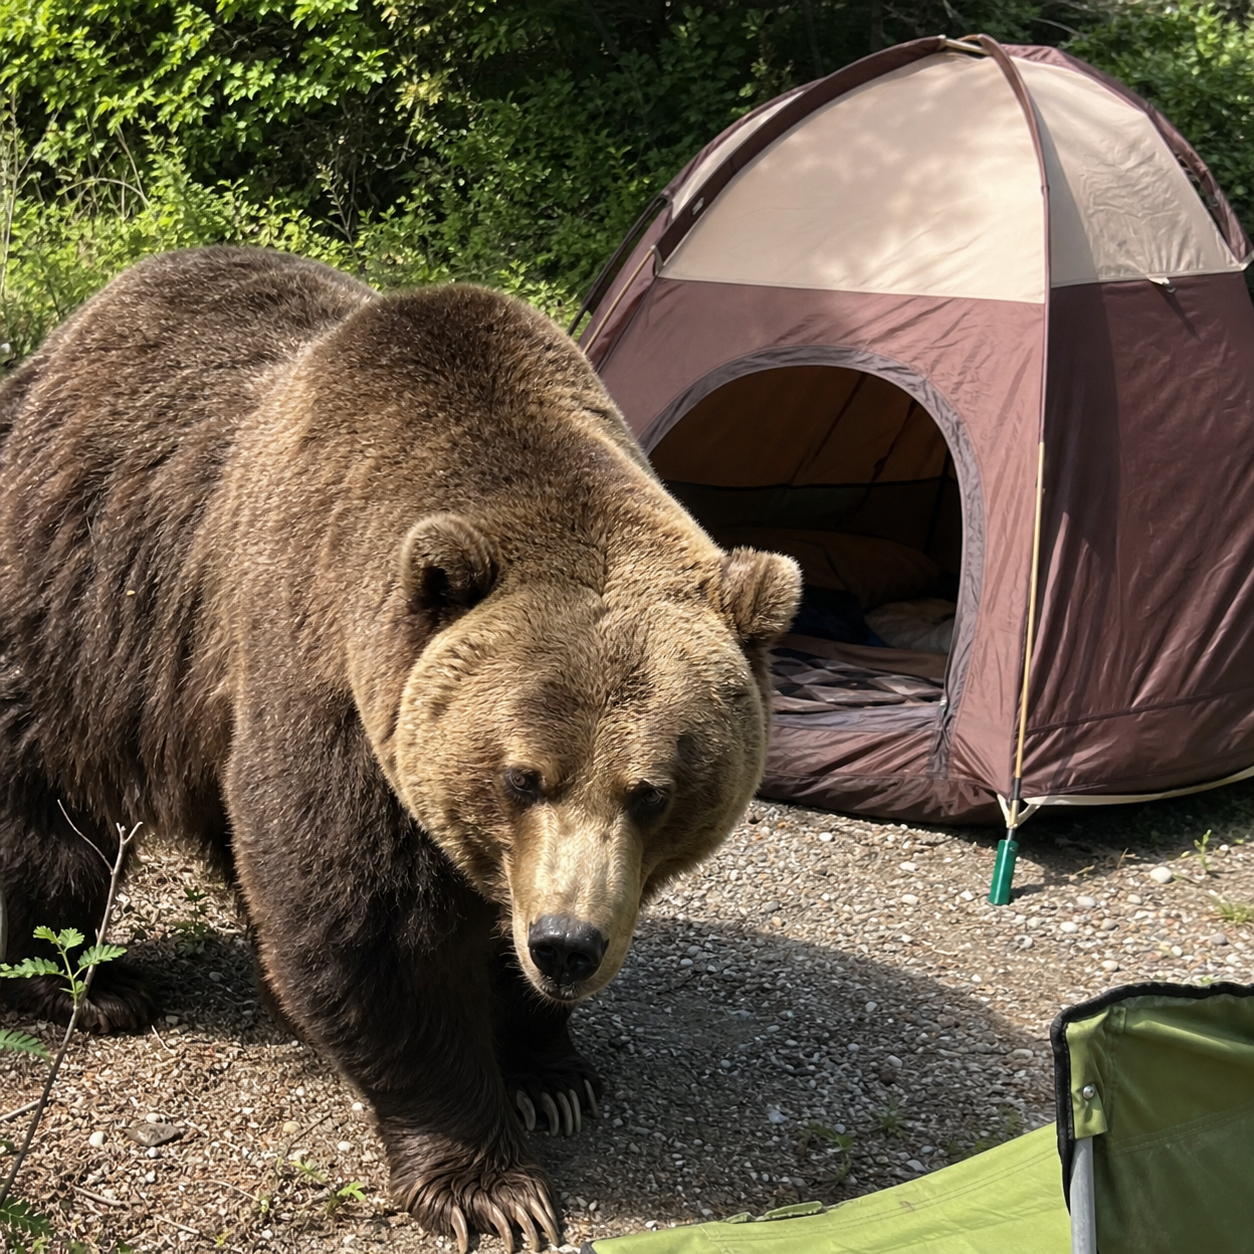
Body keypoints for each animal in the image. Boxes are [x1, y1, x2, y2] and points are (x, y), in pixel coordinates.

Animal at [0, 246, 800, 1250]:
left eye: (653, 790)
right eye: (522, 776)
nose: (567, 946)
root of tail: (54, 351)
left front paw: (553, 1072)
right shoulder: (331, 684)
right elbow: (368, 928)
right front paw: (490, 1183)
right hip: (81, 621)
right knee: (47, 822)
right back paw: (99, 989)